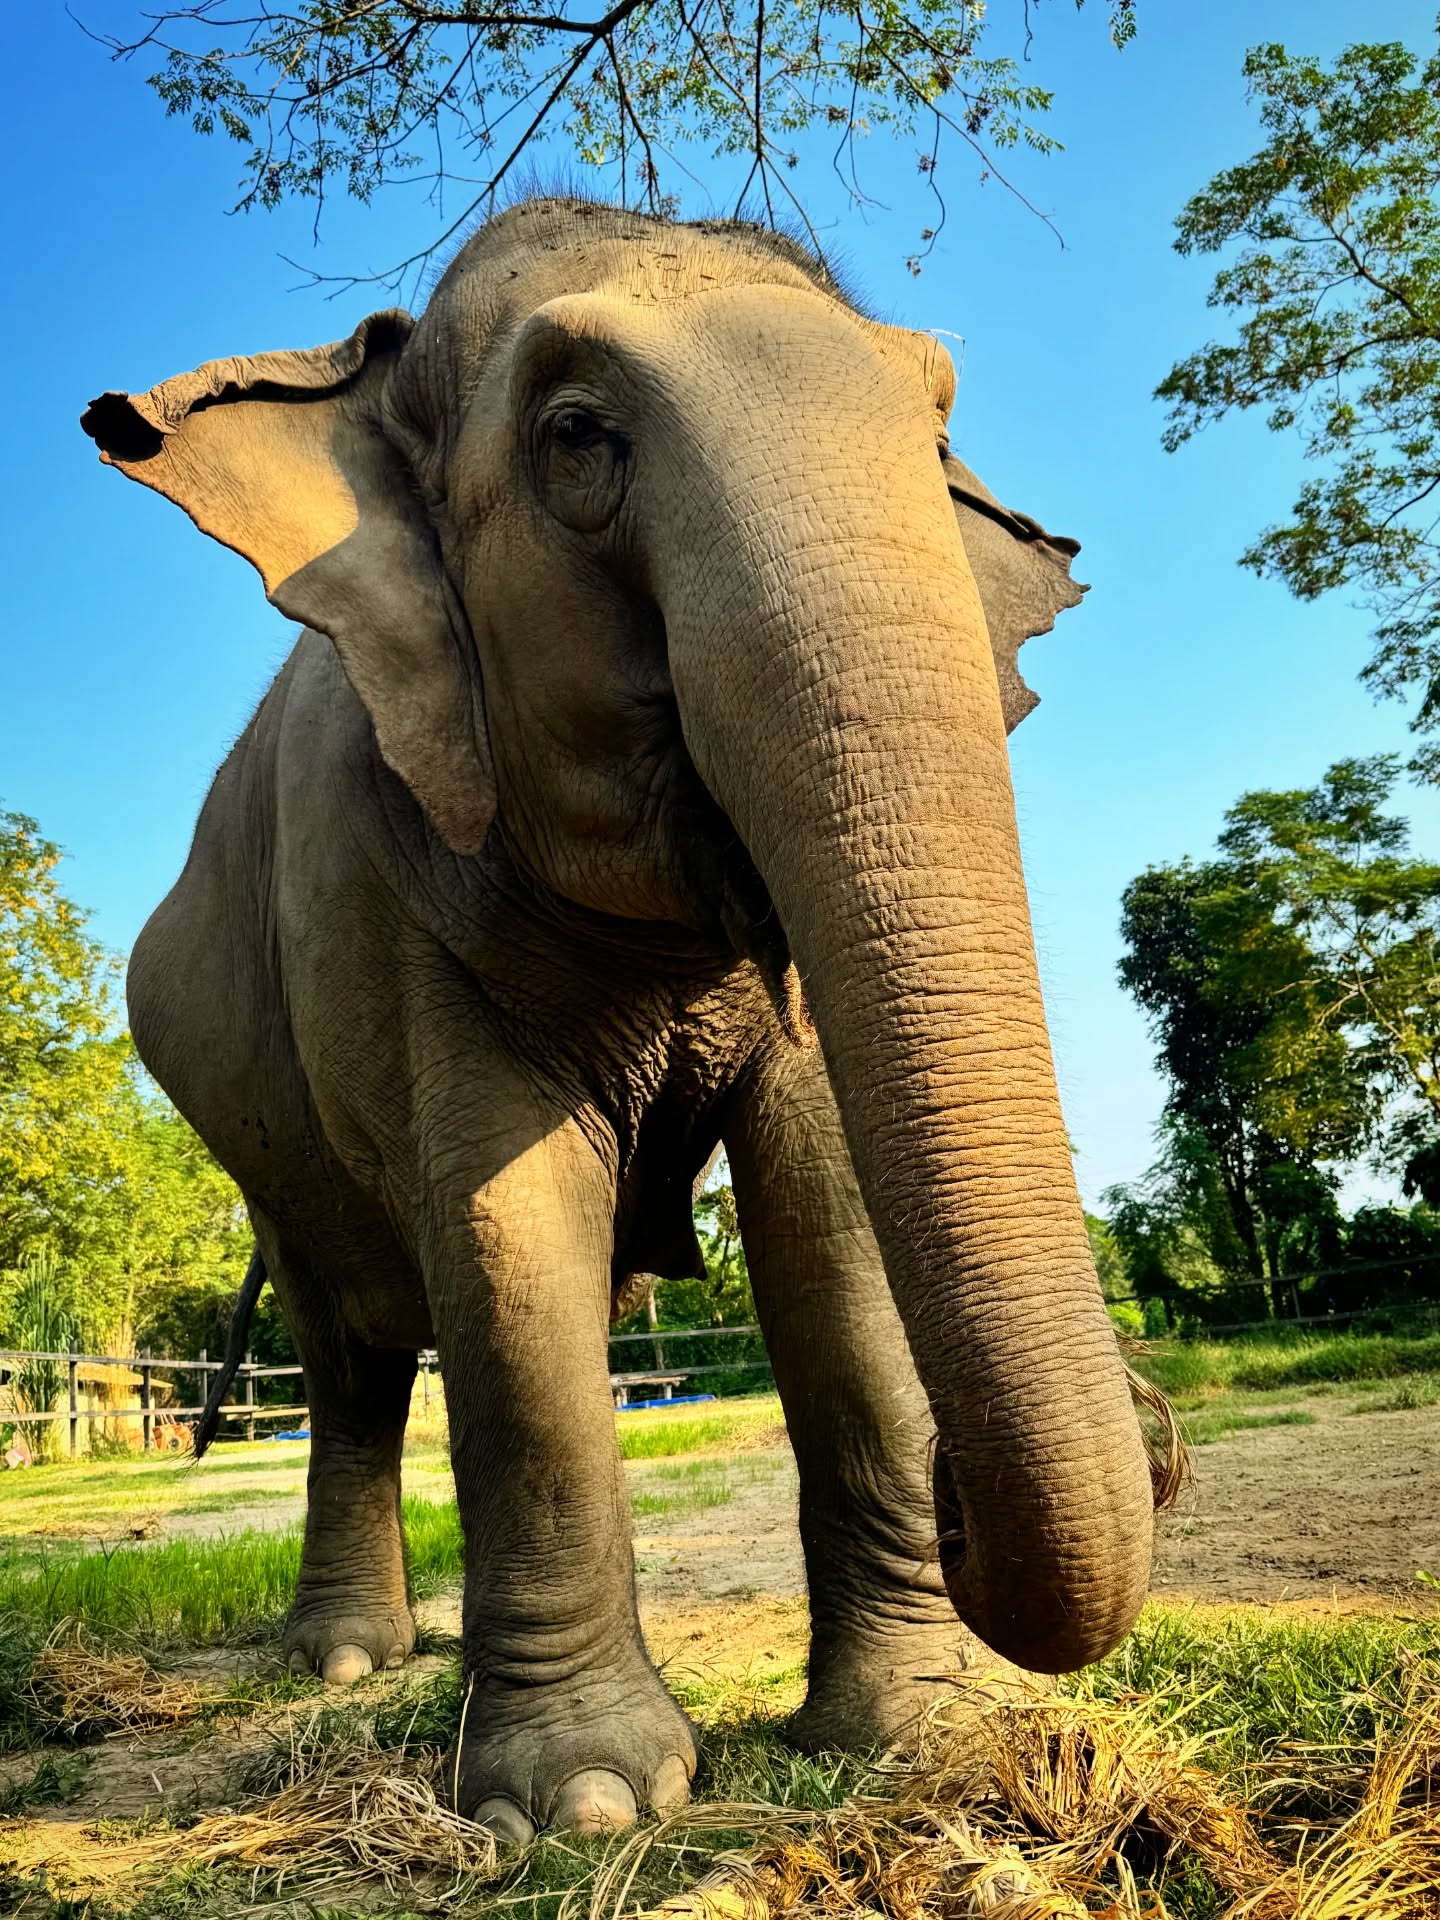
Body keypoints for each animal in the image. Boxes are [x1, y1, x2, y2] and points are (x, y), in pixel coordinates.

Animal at [81, 197, 1163, 1842]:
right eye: (578, 437)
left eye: (937, 436)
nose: (961, 1501)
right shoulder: (391, 885)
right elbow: (508, 1217)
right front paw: (583, 1804)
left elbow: (828, 1205)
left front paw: (908, 1730)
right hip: (251, 1140)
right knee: (350, 1352)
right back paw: (348, 1661)